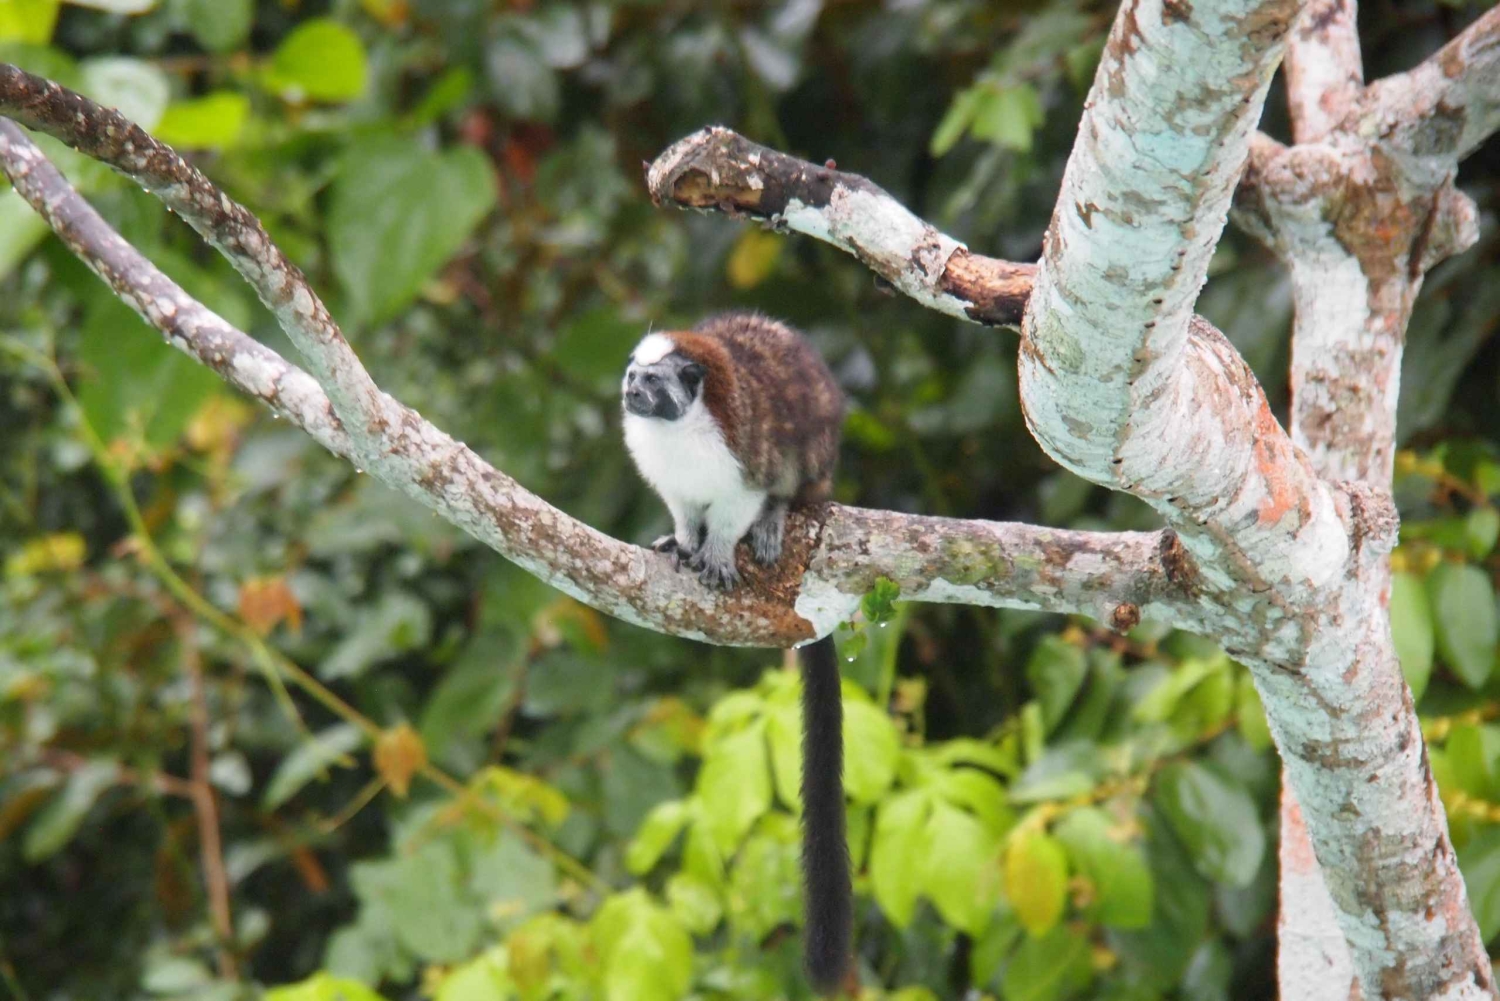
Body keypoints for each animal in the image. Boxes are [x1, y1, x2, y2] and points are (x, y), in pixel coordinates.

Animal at [622, 312, 851, 994]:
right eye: (632, 375)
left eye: (653, 383)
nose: (631, 393)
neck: (679, 430)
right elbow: (683, 507)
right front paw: (684, 539)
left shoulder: (742, 448)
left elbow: (740, 501)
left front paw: (722, 548)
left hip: (817, 462)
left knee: (792, 477)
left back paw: (777, 517)